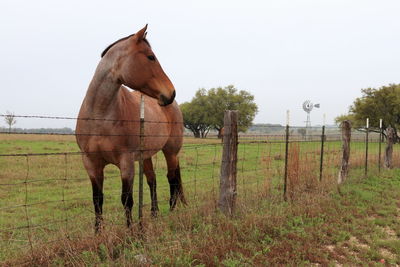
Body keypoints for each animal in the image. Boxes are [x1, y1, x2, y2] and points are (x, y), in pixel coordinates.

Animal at [75, 25, 186, 232]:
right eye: (151, 57)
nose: (171, 93)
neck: (100, 116)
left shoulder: (126, 162)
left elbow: (127, 199)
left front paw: (130, 231)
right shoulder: (91, 163)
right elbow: (97, 200)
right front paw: (98, 232)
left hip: (171, 151)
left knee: (172, 178)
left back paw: (171, 212)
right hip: (147, 155)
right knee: (152, 180)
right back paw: (154, 214)